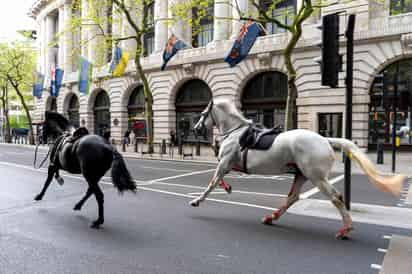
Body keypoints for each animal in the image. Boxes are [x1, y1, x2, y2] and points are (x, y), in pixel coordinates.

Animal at [191, 100, 406, 240]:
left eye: (202, 114)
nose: (195, 129)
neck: (236, 132)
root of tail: (325, 140)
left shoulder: (225, 163)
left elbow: (212, 182)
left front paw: (197, 200)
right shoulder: (228, 165)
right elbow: (218, 179)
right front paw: (227, 188)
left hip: (316, 177)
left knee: (336, 197)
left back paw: (346, 229)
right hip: (302, 175)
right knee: (292, 197)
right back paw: (271, 217)